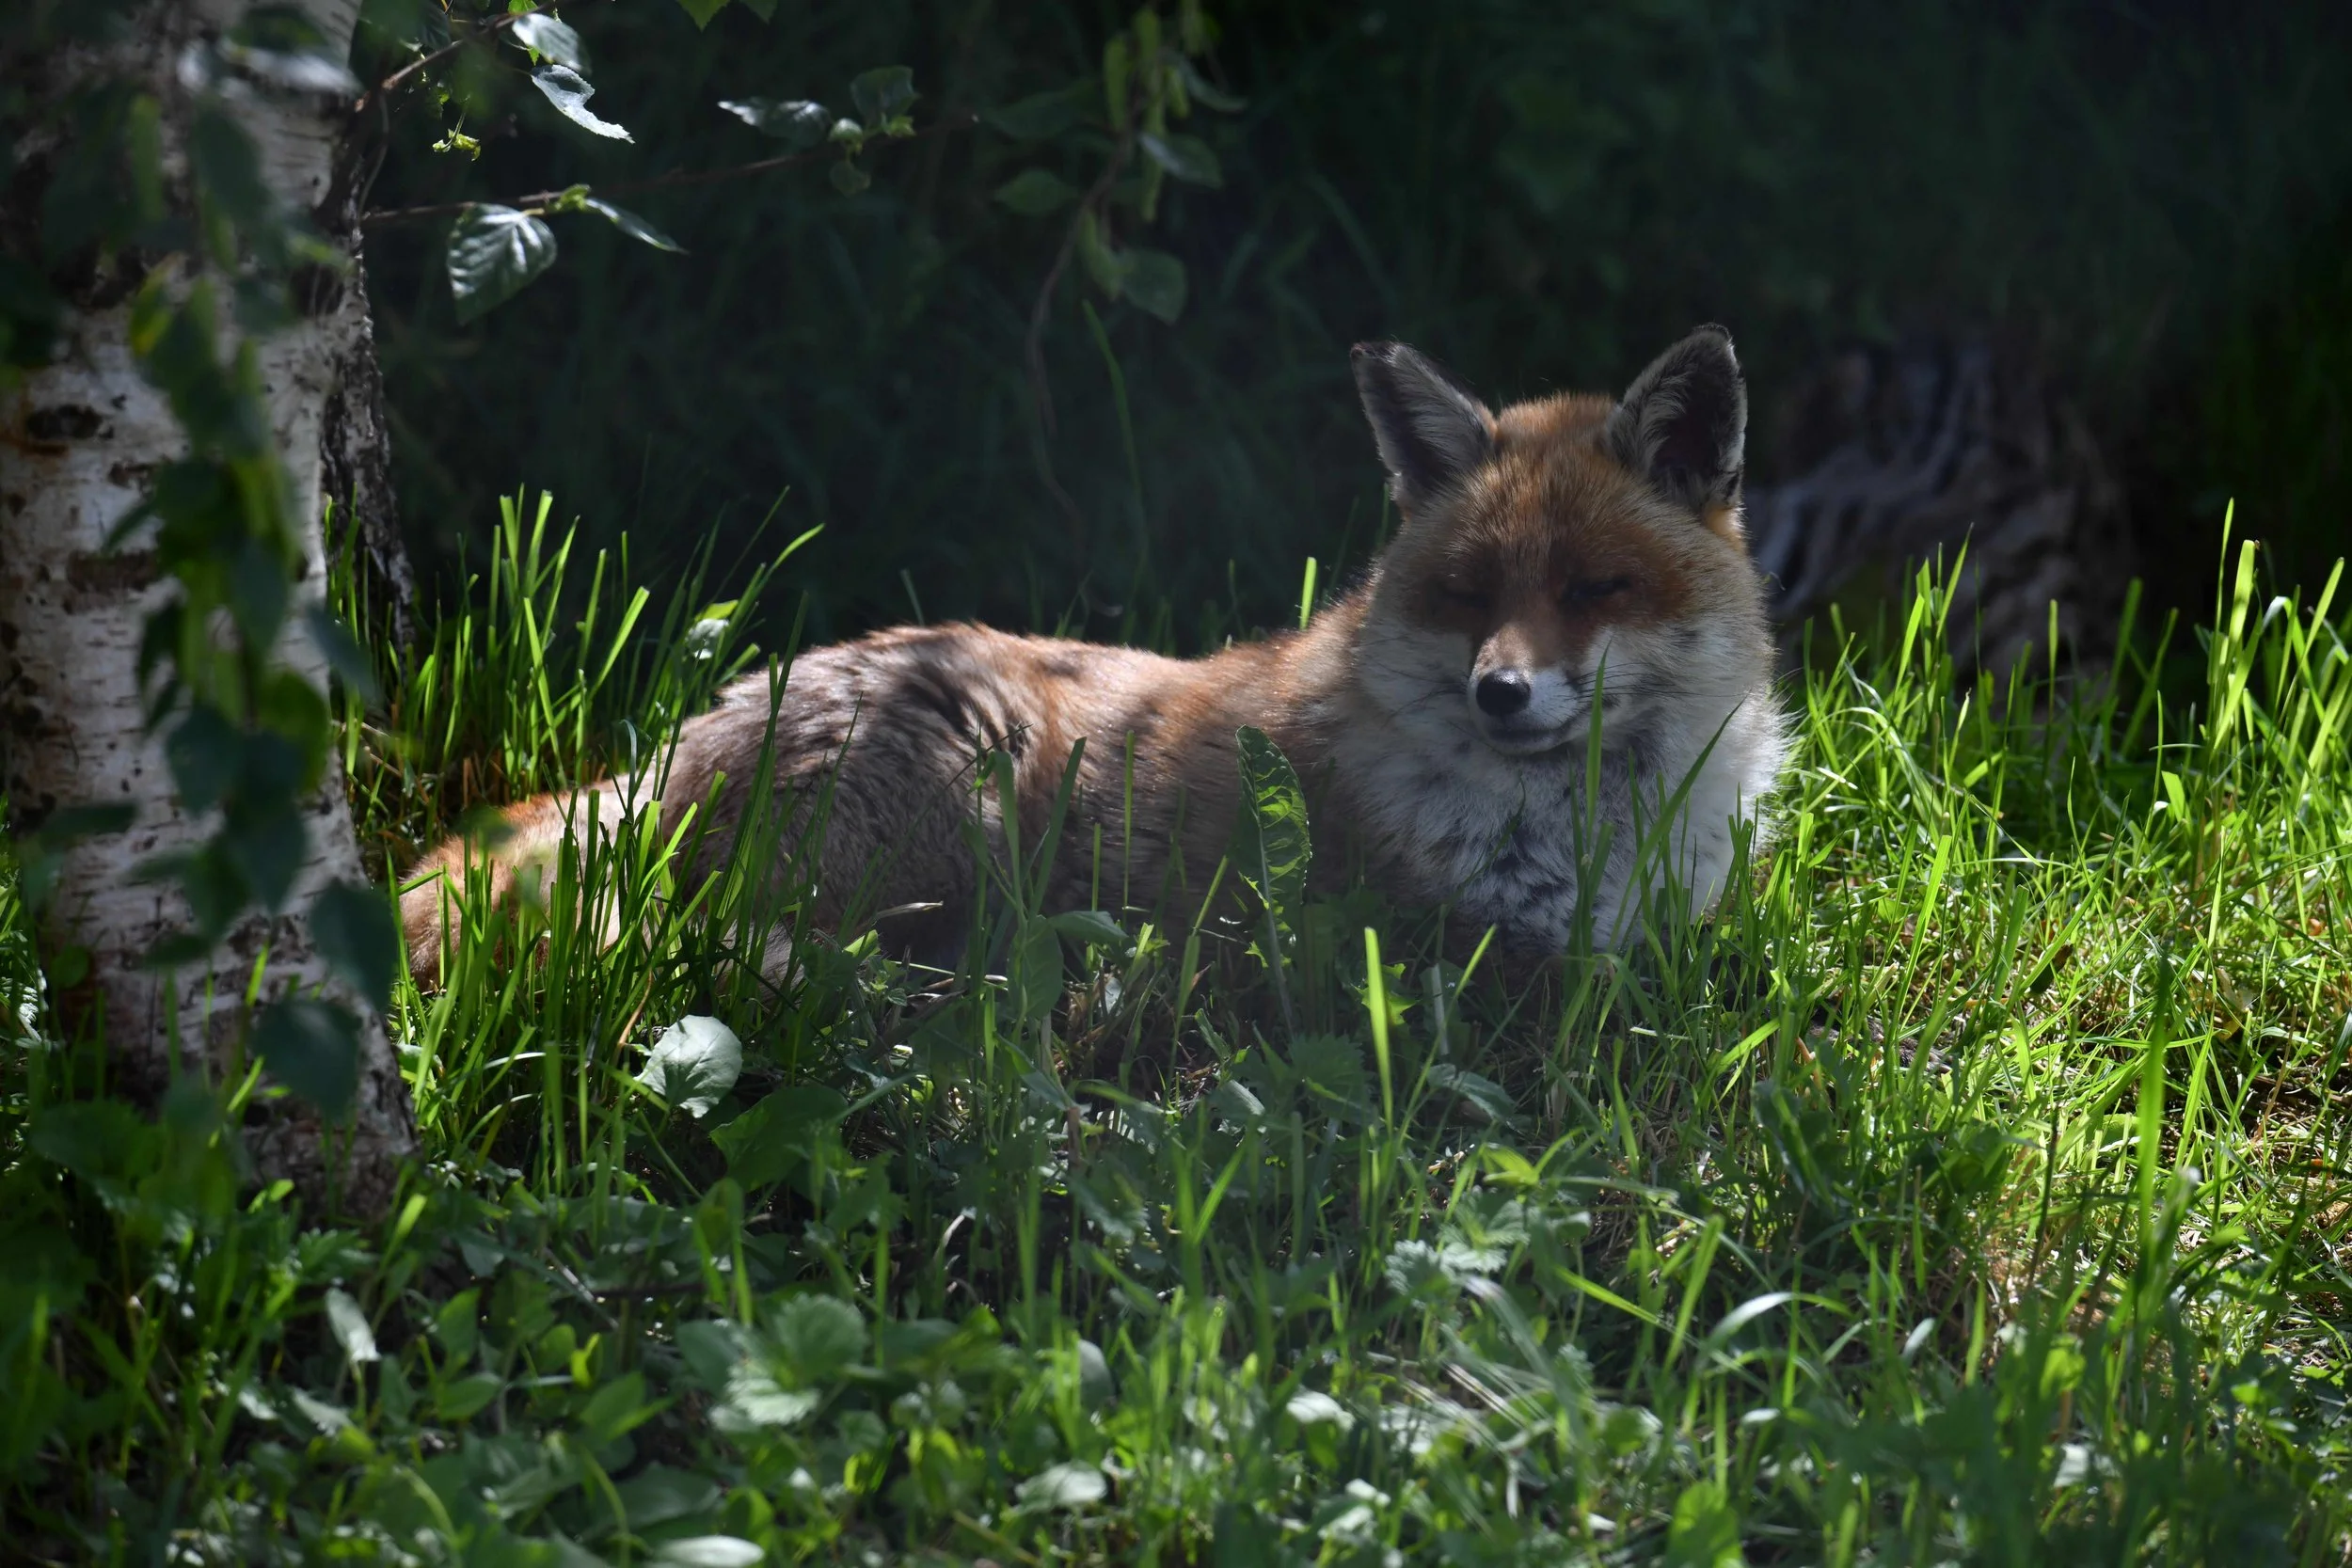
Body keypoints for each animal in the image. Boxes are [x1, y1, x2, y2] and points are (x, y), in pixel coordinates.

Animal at [400, 326, 1788, 983]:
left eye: (1595, 588)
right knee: (732, 943)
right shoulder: (1448, 950)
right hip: (963, 795)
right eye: (1468, 594)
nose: (1500, 690)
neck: (1593, 834)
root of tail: (669, 749)